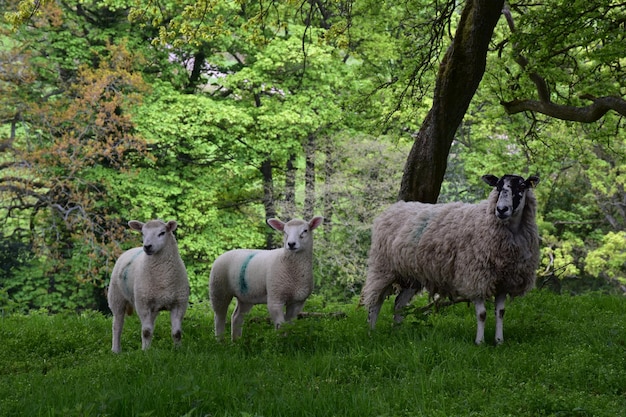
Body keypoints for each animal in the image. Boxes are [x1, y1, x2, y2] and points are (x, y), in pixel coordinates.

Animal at [106, 219, 188, 352]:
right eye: (143, 233)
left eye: (162, 233)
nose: (147, 246)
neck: (163, 278)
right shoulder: (142, 304)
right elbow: (146, 332)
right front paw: (145, 352)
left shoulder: (179, 303)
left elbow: (177, 333)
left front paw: (178, 350)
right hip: (116, 298)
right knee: (117, 325)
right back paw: (116, 350)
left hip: (153, 305)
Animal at [358, 173, 540, 344]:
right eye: (498, 186)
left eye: (522, 186)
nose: (501, 209)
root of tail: (392, 209)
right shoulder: (474, 277)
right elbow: (482, 314)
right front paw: (480, 342)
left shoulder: (504, 280)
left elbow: (500, 313)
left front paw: (499, 341)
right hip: (382, 267)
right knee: (375, 302)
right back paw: (371, 332)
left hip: (412, 274)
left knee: (399, 303)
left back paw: (397, 331)